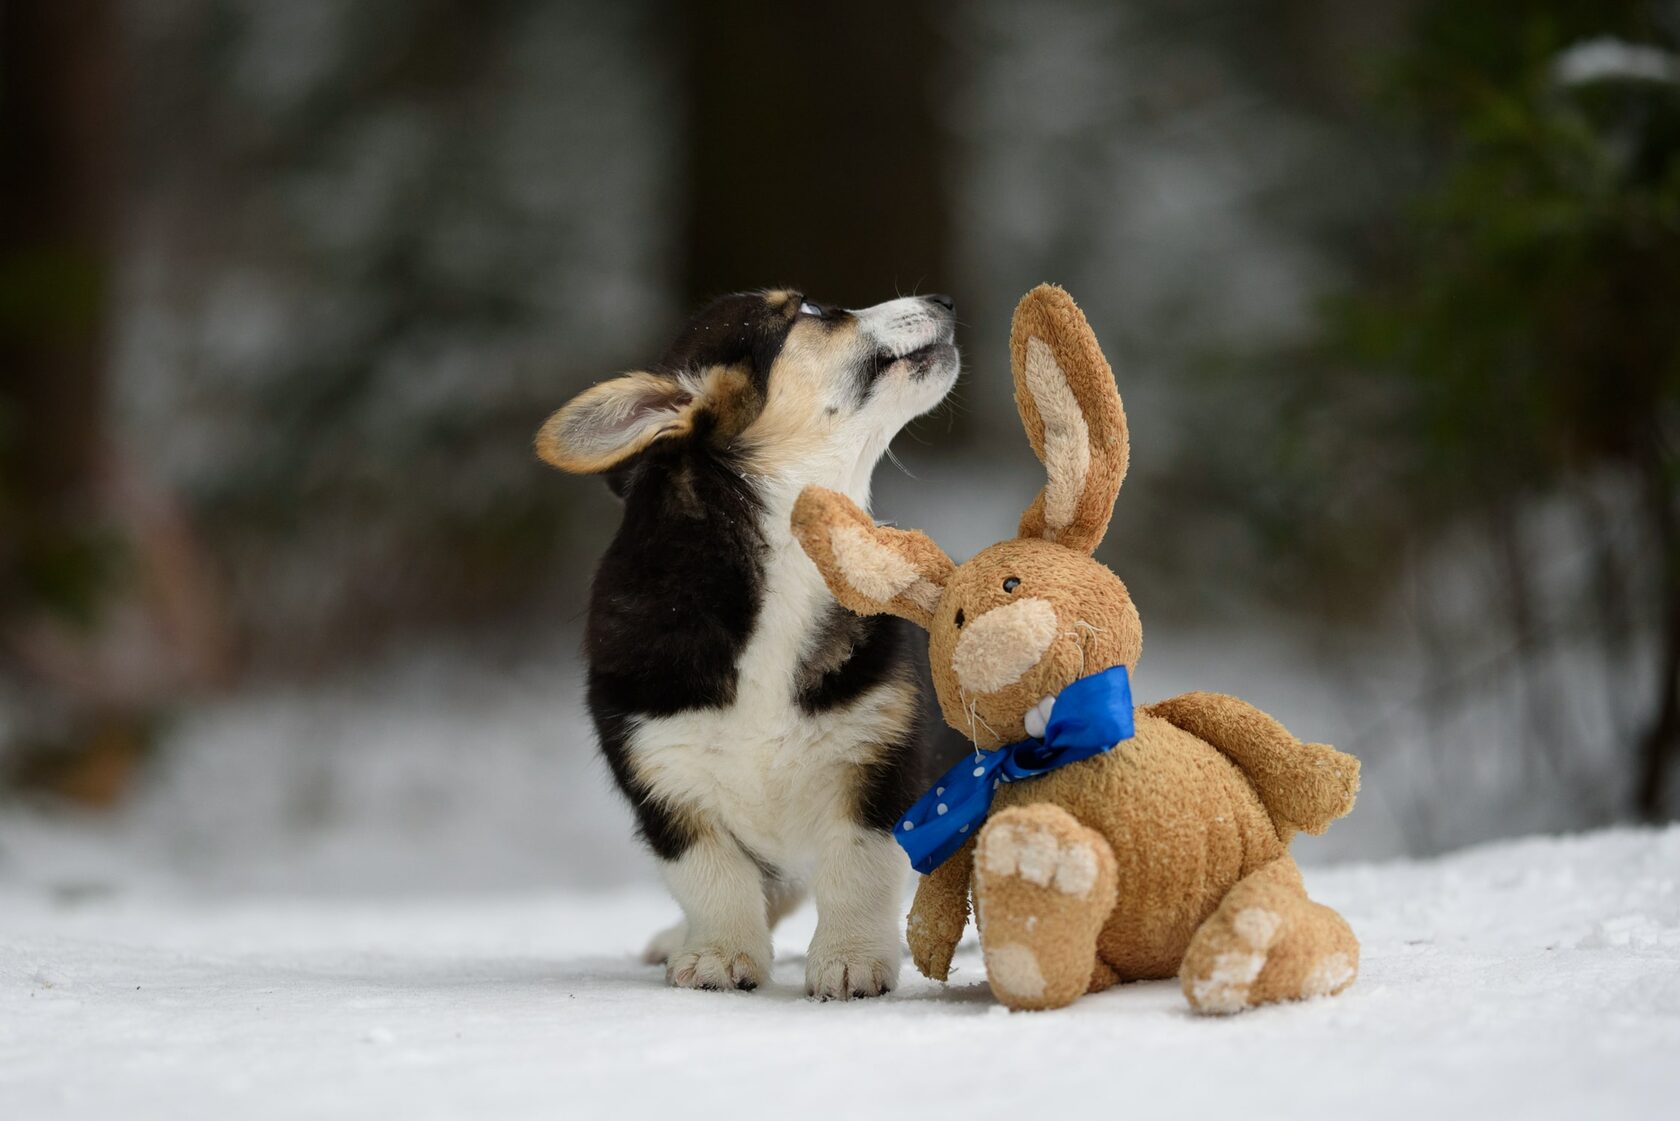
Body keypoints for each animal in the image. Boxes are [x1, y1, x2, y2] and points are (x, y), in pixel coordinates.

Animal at [537, 289, 960, 1001]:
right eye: (808, 311)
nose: (944, 300)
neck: (785, 550)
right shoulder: (664, 781)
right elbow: (713, 878)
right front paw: (717, 957)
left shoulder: (879, 763)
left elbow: (857, 870)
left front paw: (850, 962)